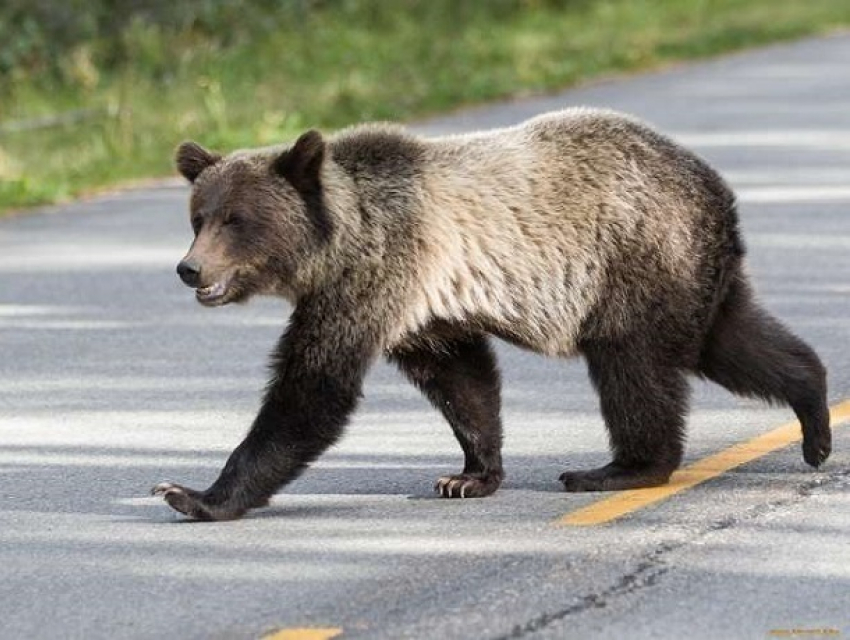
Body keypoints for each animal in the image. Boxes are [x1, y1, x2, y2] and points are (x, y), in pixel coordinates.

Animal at [152, 109, 828, 520]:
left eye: (236, 220)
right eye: (197, 217)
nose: (190, 269)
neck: (337, 242)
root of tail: (717, 188)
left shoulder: (377, 273)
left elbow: (313, 388)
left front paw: (192, 494)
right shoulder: (420, 308)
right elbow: (463, 381)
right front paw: (468, 475)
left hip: (636, 257)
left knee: (634, 367)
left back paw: (618, 469)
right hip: (690, 275)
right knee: (735, 340)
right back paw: (815, 419)